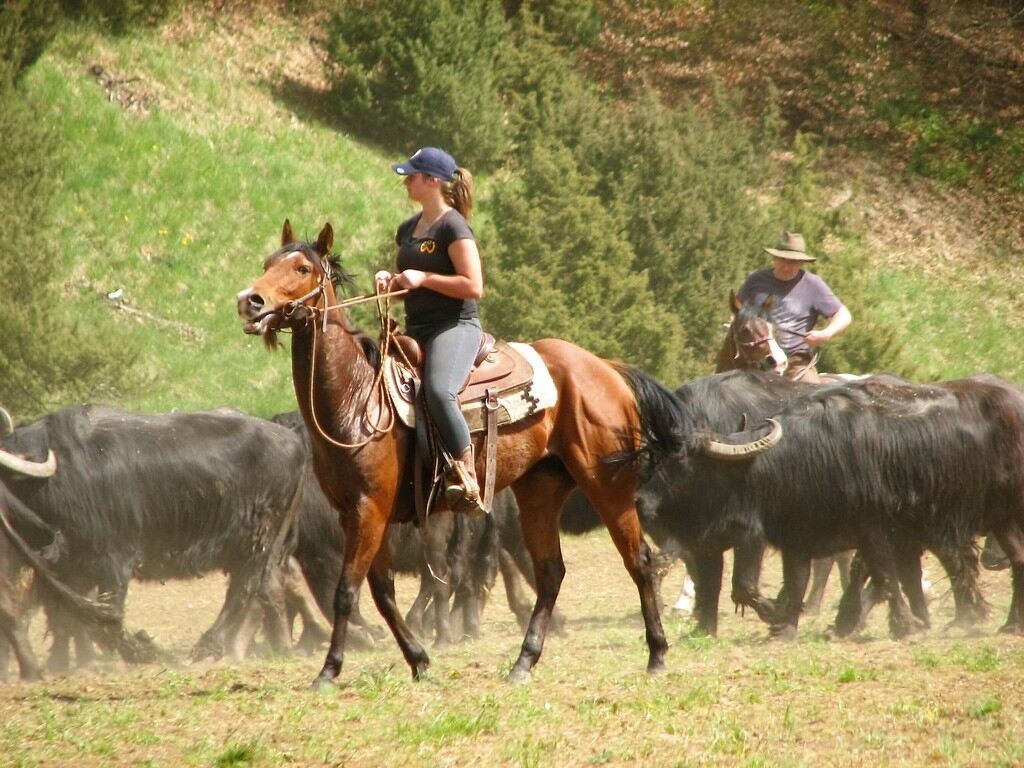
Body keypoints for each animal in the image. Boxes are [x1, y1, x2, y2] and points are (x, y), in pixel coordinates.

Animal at [236, 221, 741, 684]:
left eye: (302, 268)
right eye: (267, 263)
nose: (250, 300)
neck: (359, 397)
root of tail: (604, 368)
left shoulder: (370, 509)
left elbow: (347, 591)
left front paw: (329, 670)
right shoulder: (355, 513)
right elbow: (381, 592)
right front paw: (419, 660)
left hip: (608, 486)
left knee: (639, 561)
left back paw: (656, 654)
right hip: (541, 491)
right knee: (550, 572)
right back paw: (524, 662)